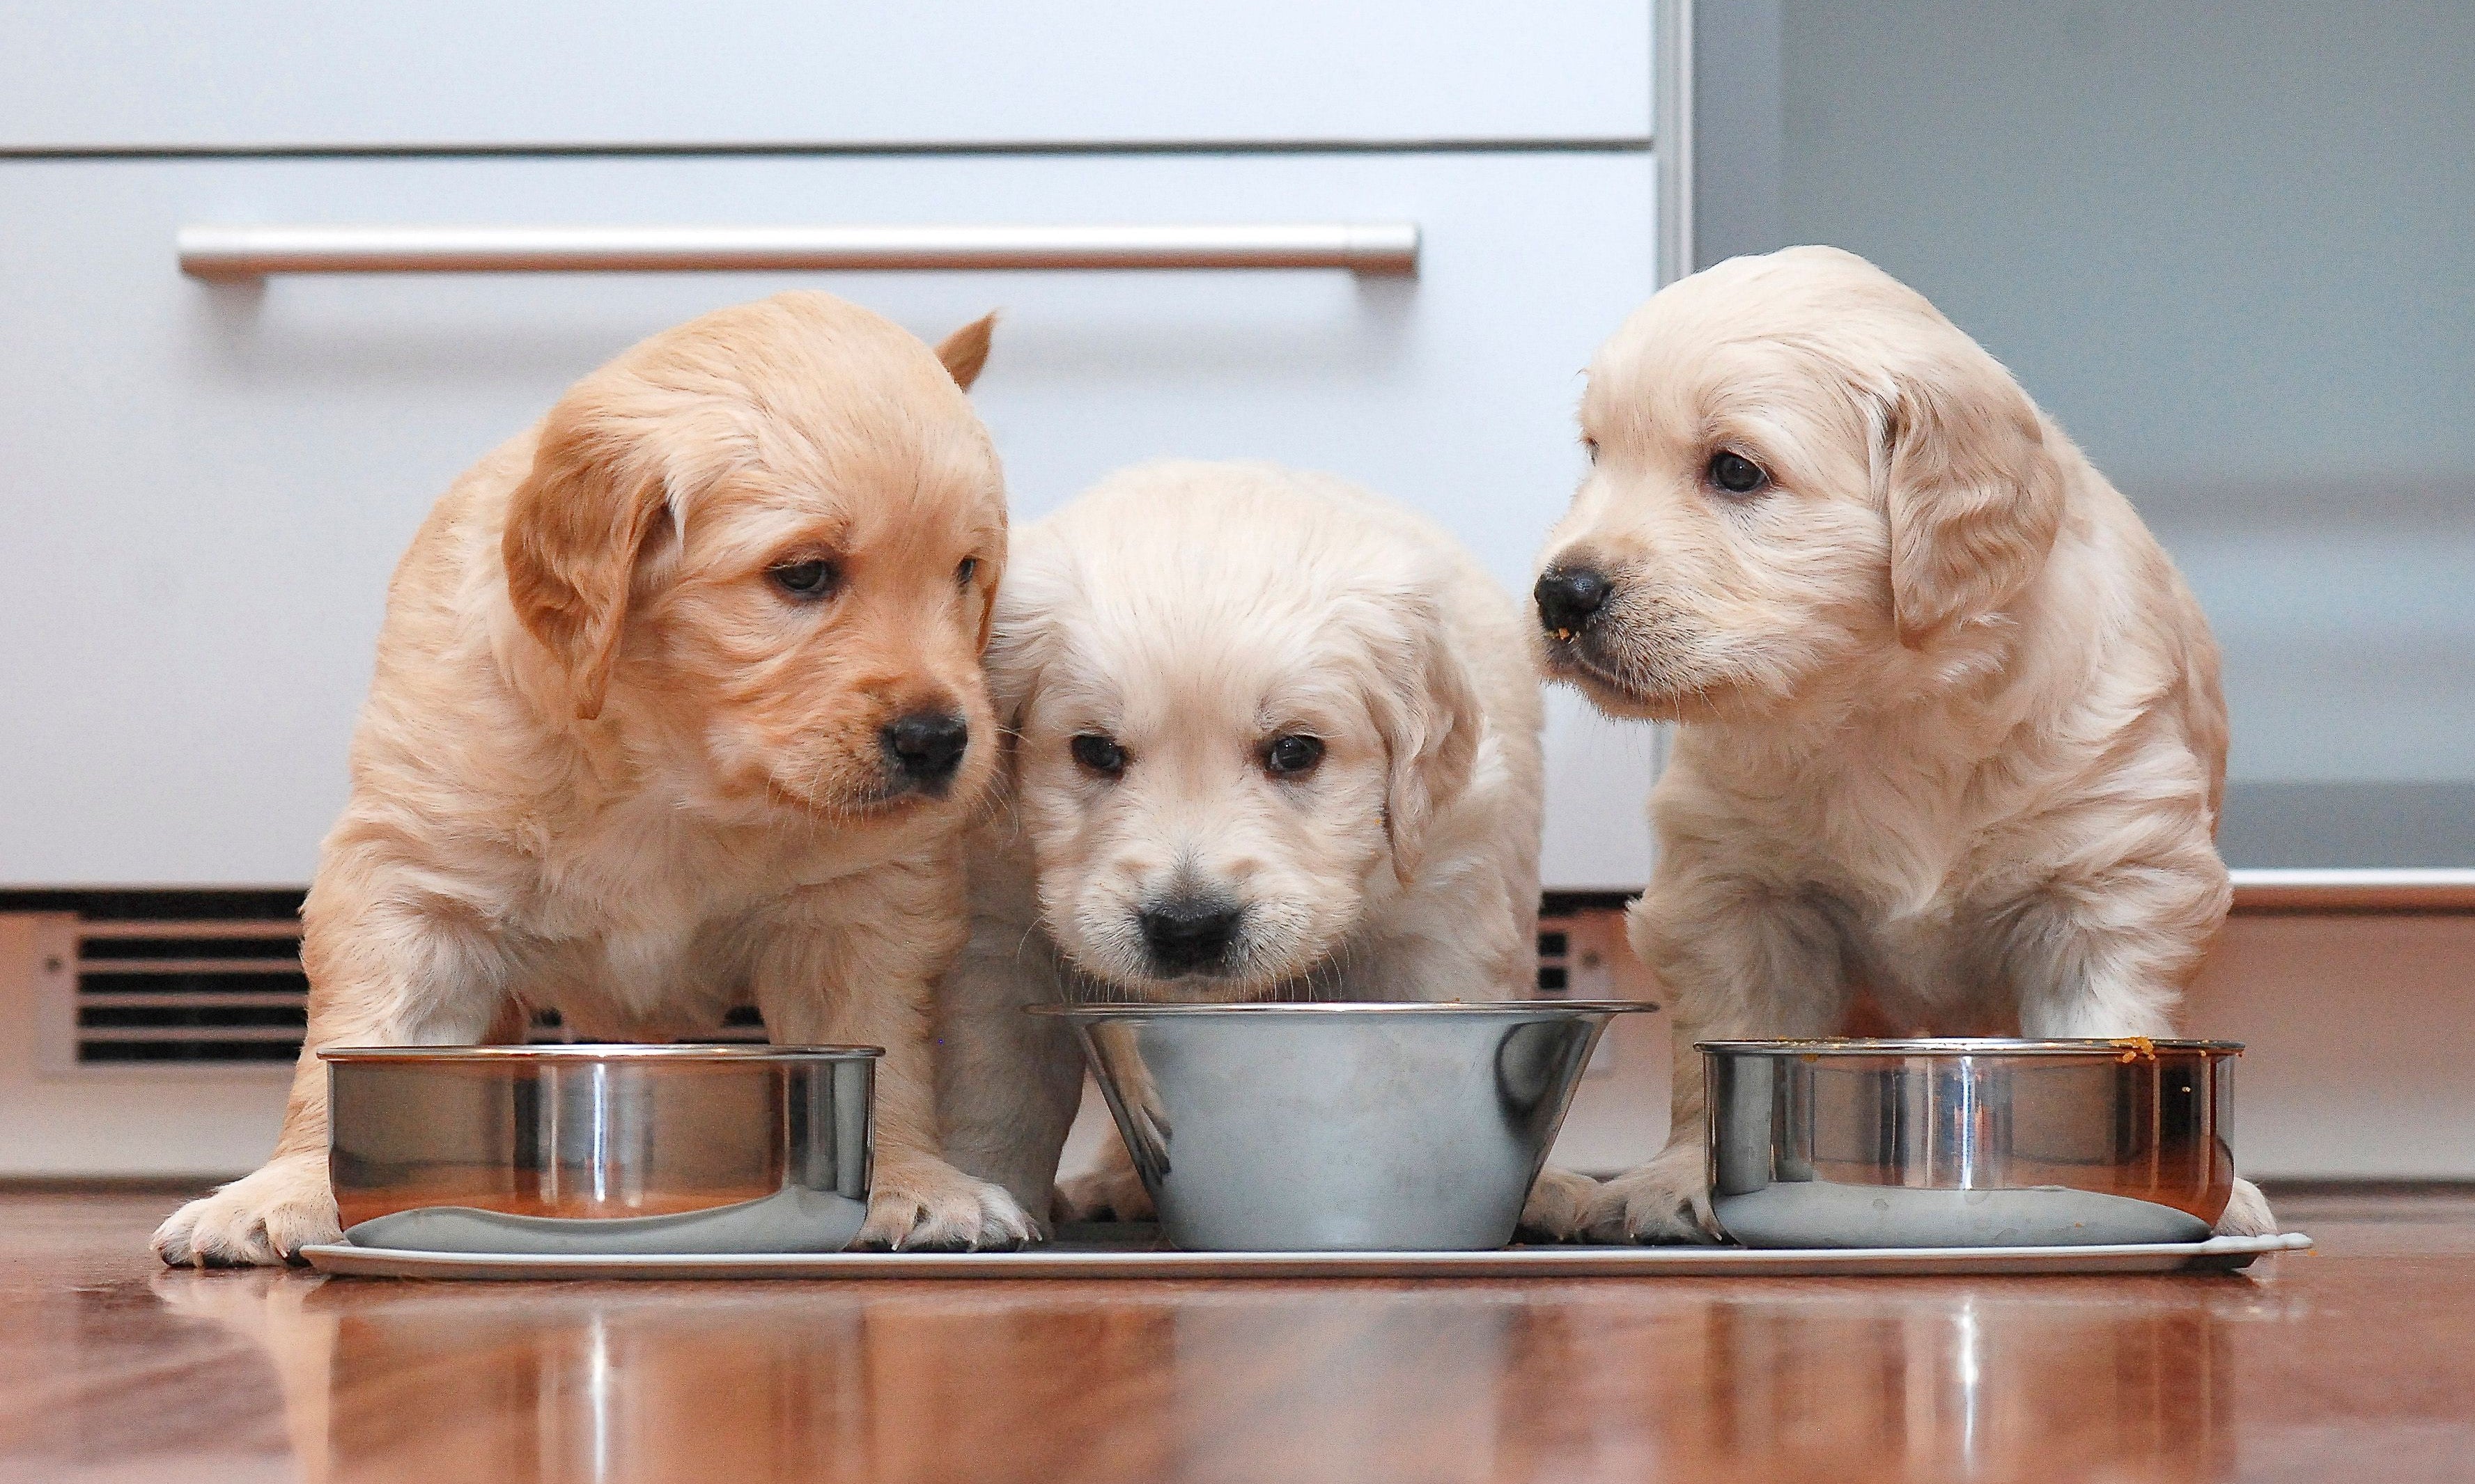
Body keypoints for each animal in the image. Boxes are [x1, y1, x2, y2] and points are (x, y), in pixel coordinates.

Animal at [152, 289, 1044, 1261]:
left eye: (966, 571)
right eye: (804, 574)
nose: (939, 740)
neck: (673, 769)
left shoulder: (860, 900)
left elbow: (885, 1047)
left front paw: (916, 1181)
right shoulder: (412, 880)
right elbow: (354, 1040)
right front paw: (286, 1187)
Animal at [930, 458, 1604, 1236]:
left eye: (1293, 751)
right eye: (1094, 750)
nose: (1188, 926)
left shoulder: (1440, 911)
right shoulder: (995, 925)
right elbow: (997, 1091)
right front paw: (977, 1195)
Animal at [1524, 249, 2276, 1247]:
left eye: (1735, 471)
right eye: (1595, 455)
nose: (1559, 594)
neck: (1880, 705)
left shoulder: (2111, 878)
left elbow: (2105, 1010)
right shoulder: (1734, 891)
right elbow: (1714, 1042)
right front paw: (1682, 1177)